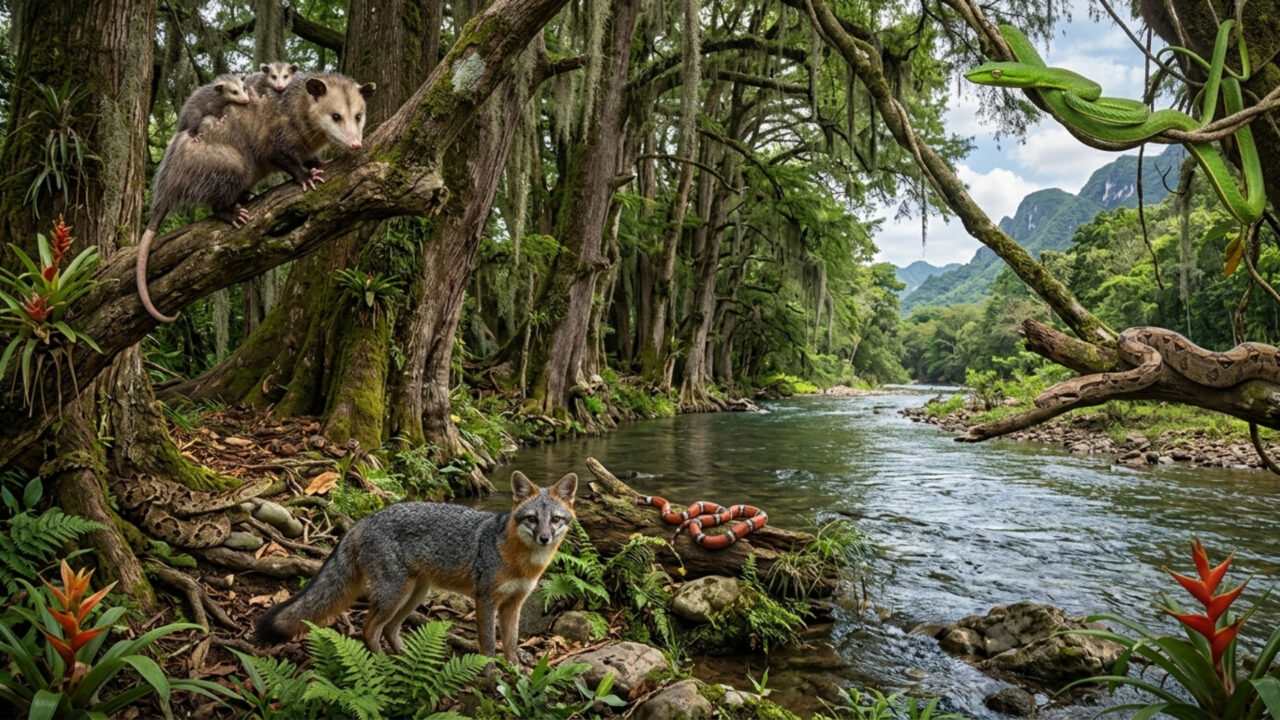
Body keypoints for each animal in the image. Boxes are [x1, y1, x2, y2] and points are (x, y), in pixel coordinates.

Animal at [254, 471, 578, 662]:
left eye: (555, 520)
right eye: (532, 519)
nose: (545, 538)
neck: (521, 563)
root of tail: (364, 519)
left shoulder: (514, 604)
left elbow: (510, 644)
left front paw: (513, 674)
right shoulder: (485, 600)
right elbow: (488, 644)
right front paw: (489, 676)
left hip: (414, 595)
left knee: (389, 630)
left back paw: (408, 659)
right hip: (395, 595)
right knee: (368, 629)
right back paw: (383, 663)